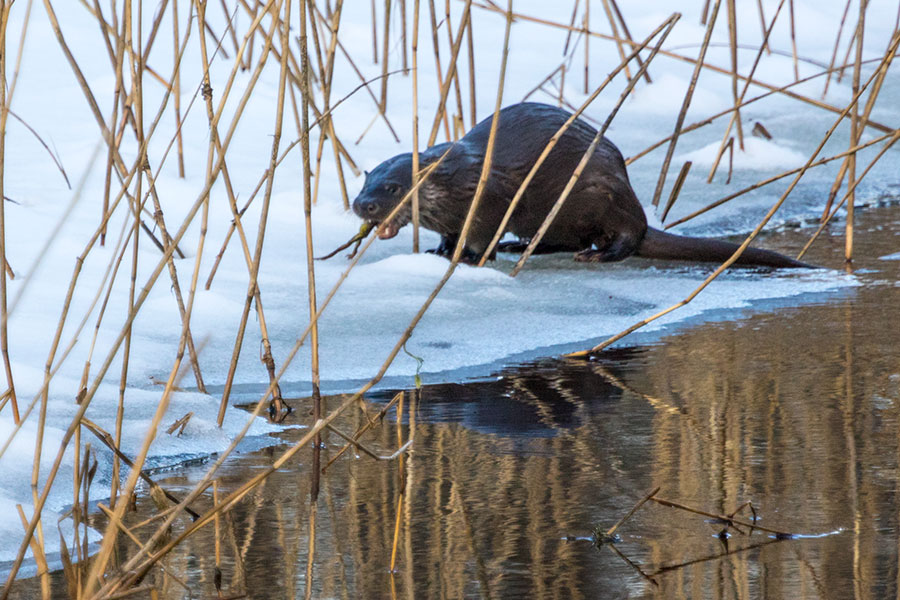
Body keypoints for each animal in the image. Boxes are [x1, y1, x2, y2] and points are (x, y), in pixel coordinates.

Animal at [354, 102, 816, 268]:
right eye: (366, 183)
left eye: (392, 188)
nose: (362, 206)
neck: (462, 181)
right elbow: (450, 233)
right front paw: (439, 250)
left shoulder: (489, 200)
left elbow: (481, 233)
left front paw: (468, 257)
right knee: (566, 238)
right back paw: (523, 246)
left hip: (604, 194)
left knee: (623, 238)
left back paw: (598, 255)